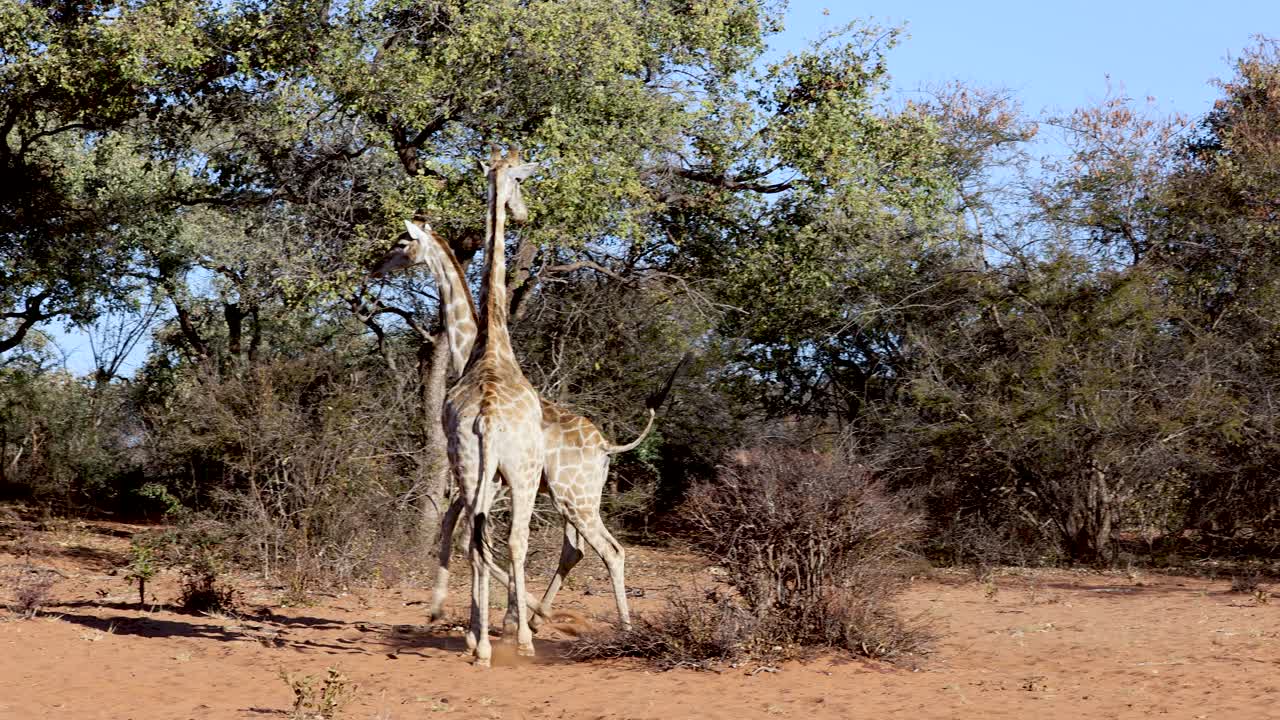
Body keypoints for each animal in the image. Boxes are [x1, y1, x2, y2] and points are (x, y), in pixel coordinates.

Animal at [373, 217, 652, 631]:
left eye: (401, 243)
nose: (375, 267)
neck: (472, 355)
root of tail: (606, 447)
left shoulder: (492, 478)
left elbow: (470, 538)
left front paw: (504, 615)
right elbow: (460, 532)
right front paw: (461, 611)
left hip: (575, 497)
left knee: (611, 550)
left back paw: (620, 627)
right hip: (574, 497)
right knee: (575, 550)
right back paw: (540, 618)